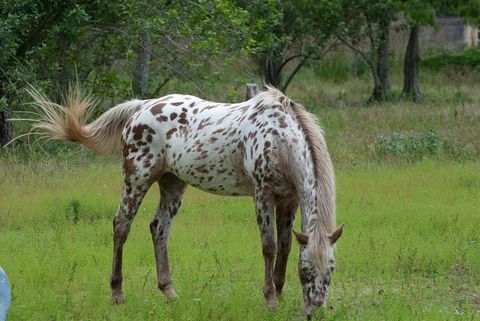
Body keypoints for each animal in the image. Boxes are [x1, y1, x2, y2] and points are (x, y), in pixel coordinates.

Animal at [30, 85, 344, 318]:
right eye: (305, 272)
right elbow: (269, 247)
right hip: (137, 178)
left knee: (159, 229)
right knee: (121, 226)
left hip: (172, 184)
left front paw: (279, 291)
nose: (315, 309)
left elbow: (286, 246)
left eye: (331, 269)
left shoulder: (289, 199)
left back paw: (169, 292)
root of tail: (141, 106)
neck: (281, 139)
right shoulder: (263, 195)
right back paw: (117, 294)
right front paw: (269, 299)